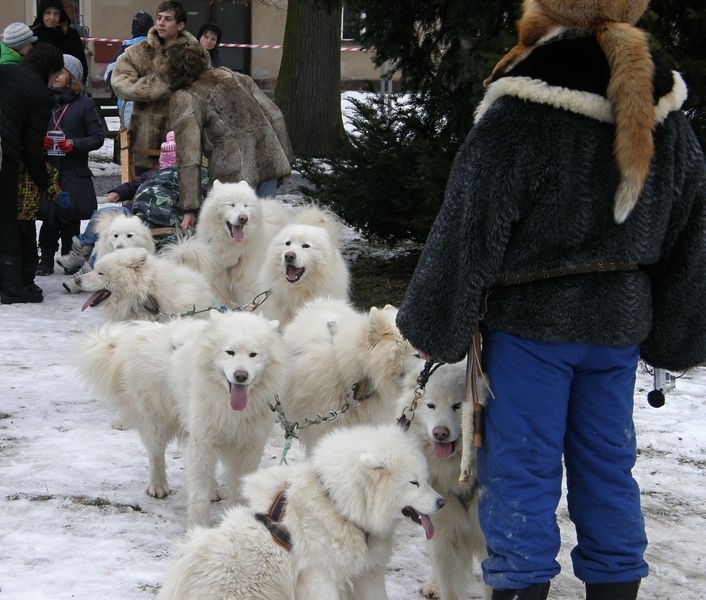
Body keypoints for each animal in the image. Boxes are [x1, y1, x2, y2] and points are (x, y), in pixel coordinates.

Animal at [75, 310, 284, 524]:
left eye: (253, 354)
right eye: (230, 352)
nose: (241, 375)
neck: (229, 406)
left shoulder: (249, 446)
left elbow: (240, 487)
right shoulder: (203, 440)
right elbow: (198, 493)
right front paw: (198, 525)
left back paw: (213, 489)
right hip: (156, 422)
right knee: (156, 455)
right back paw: (158, 486)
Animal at [159, 424, 442, 596]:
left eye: (426, 479)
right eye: (414, 482)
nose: (442, 503)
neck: (338, 505)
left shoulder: (367, 572)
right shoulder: (320, 578)